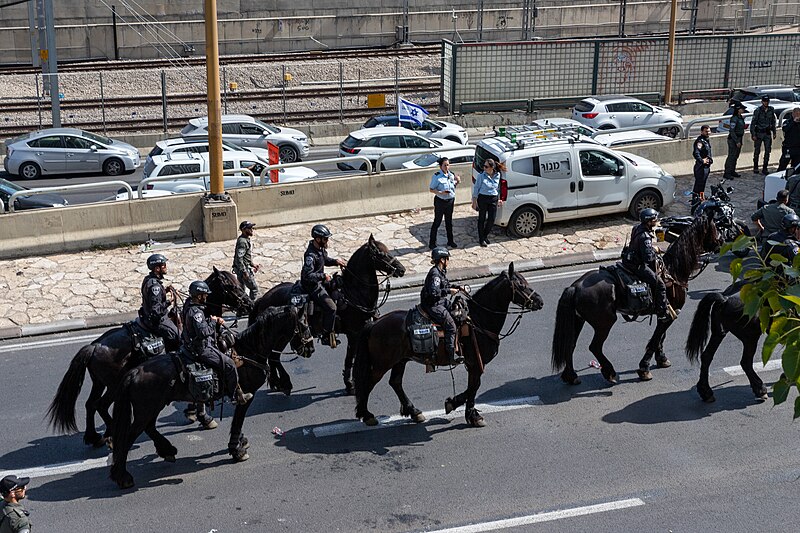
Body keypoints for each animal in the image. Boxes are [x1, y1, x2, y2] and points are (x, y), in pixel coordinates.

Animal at [47, 266, 253, 444]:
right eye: (230, 285)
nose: (249, 304)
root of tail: (94, 346)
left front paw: (193, 412)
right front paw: (202, 416)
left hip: (100, 383)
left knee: (91, 404)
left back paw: (94, 437)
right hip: (113, 385)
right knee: (101, 405)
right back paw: (111, 435)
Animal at [109, 304, 312, 486]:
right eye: (304, 324)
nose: (310, 348)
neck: (249, 350)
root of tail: (134, 372)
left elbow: (237, 422)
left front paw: (240, 442)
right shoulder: (248, 395)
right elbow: (238, 420)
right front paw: (237, 450)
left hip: (152, 407)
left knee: (149, 428)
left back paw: (166, 450)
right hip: (147, 409)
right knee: (129, 436)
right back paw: (122, 476)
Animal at [252, 234, 404, 394]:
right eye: (380, 253)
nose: (402, 269)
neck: (353, 292)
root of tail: (263, 299)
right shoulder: (354, 334)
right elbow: (350, 359)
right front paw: (350, 384)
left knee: (271, 357)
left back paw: (277, 383)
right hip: (282, 337)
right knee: (274, 357)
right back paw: (284, 383)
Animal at [354, 264, 540, 426]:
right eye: (521, 285)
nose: (540, 301)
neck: (478, 319)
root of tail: (375, 323)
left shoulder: (474, 365)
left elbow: (472, 387)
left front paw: (457, 405)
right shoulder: (475, 363)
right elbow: (474, 387)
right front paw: (471, 415)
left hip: (400, 360)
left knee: (395, 382)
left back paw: (414, 412)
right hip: (382, 364)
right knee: (368, 383)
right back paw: (366, 415)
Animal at [552, 214, 720, 384]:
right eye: (713, 228)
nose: (720, 244)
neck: (673, 270)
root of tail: (576, 286)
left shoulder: (665, 314)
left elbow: (661, 338)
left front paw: (662, 359)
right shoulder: (671, 313)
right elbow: (655, 340)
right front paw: (644, 368)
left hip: (578, 320)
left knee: (570, 344)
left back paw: (571, 376)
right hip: (604, 323)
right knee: (595, 347)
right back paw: (610, 372)